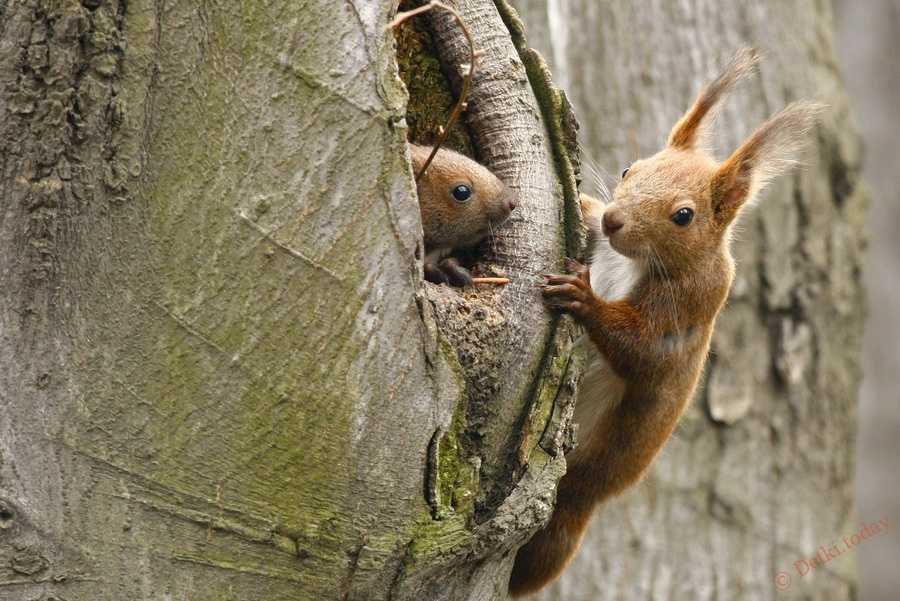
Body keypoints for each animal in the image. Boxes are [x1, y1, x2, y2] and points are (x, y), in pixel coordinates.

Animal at [506, 48, 824, 596]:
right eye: (630, 169)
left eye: (683, 216)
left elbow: (642, 350)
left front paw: (585, 299)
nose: (613, 220)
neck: (631, 260)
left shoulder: (688, 308)